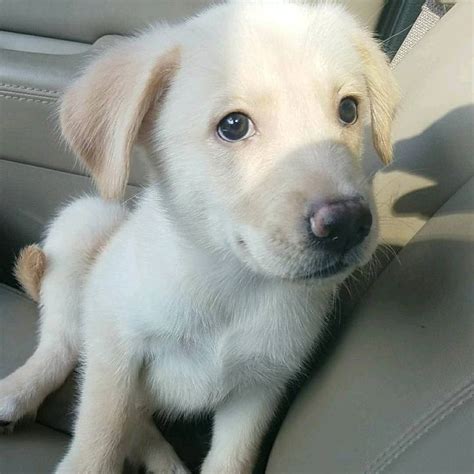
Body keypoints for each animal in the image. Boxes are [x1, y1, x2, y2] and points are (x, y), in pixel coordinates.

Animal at [0, 1, 400, 472]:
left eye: (349, 110)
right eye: (233, 125)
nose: (348, 224)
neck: (228, 282)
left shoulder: (259, 389)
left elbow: (230, 459)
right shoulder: (114, 341)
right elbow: (100, 434)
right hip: (86, 221)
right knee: (60, 346)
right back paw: (18, 391)